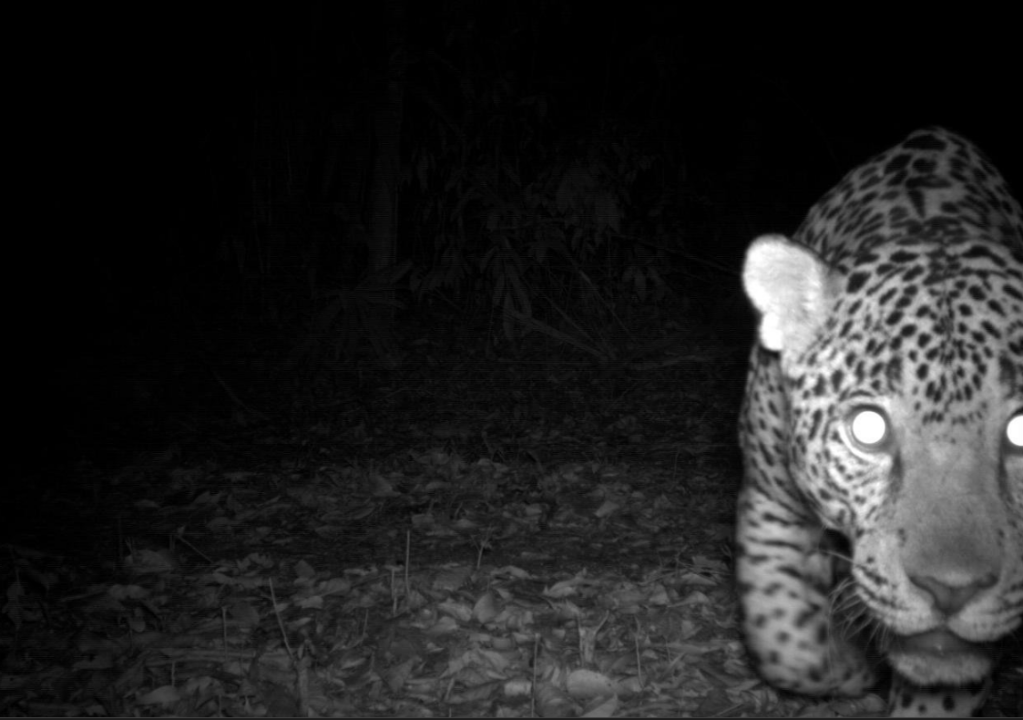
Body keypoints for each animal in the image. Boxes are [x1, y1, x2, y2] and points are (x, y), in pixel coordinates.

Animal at [735, 127, 1023, 717]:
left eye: (1021, 430)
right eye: (867, 429)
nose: (951, 588)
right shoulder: (770, 499)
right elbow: (785, 641)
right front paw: (849, 666)